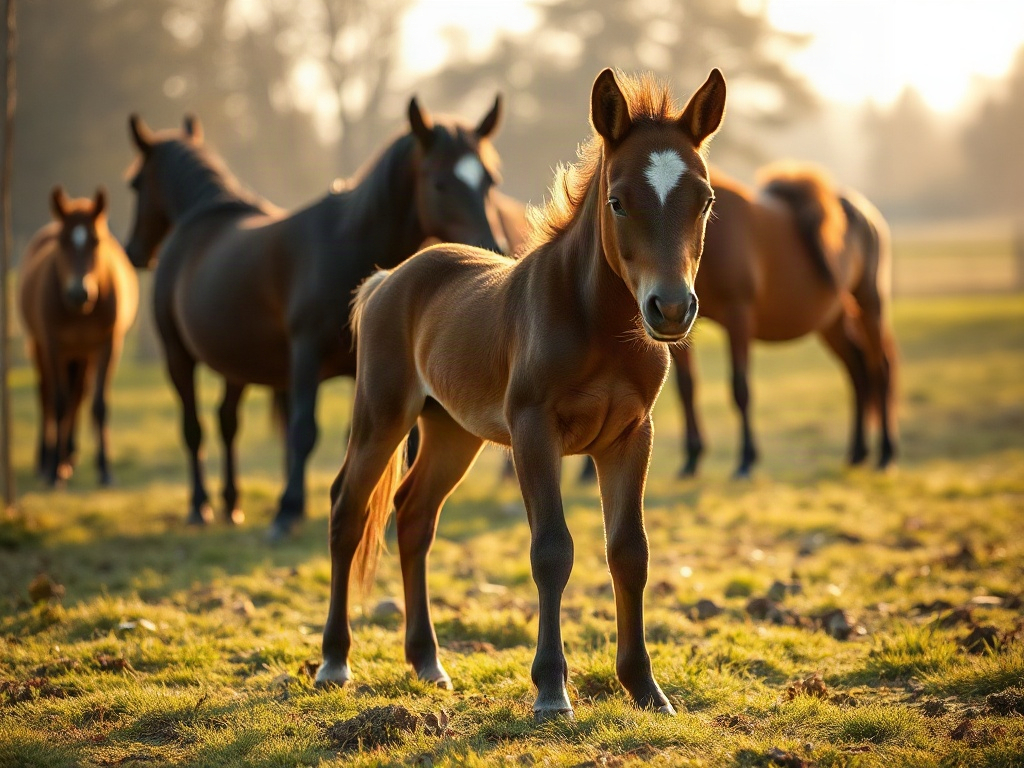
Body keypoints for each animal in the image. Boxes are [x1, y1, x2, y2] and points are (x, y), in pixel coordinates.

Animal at [19, 186, 138, 486]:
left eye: (95, 241)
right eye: (62, 241)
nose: (78, 292)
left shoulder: (108, 345)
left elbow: (98, 405)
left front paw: (105, 470)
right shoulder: (52, 345)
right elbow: (58, 402)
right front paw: (53, 471)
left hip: (83, 354)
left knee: (78, 395)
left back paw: (69, 456)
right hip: (43, 347)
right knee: (47, 395)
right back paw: (48, 459)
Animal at [124, 97, 506, 539]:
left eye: (489, 181)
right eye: (441, 182)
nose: (134, 252)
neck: (347, 248)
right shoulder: (306, 357)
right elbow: (303, 431)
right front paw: (287, 511)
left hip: (236, 364)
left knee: (226, 422)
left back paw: (232, 503)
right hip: (178, 355)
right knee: (193, 428)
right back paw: (199, 506)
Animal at [315, 68, 727, 719]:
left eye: (705, 200)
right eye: (617, 200)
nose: (670, 309)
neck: (596, 325)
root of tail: (388, 278)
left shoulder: (630, 437)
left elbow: (629, 552)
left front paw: (645, 689)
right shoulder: (535, 432)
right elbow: (551, 551)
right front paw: (552, 690)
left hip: (451, 432)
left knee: (414, 515)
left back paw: (428, 662)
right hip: (381, 415)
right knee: (348, 510)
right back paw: (334, 661)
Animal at [668, 164, 898, 478]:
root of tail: (867, 213)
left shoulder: (738, 315)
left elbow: (740, 387)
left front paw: (746, 459)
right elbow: (686, 387)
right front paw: (692, 459)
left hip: (869, 304)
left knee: (879, 370)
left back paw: (885, 454)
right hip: (833, 322)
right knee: (858, 372)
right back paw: (857, 453)